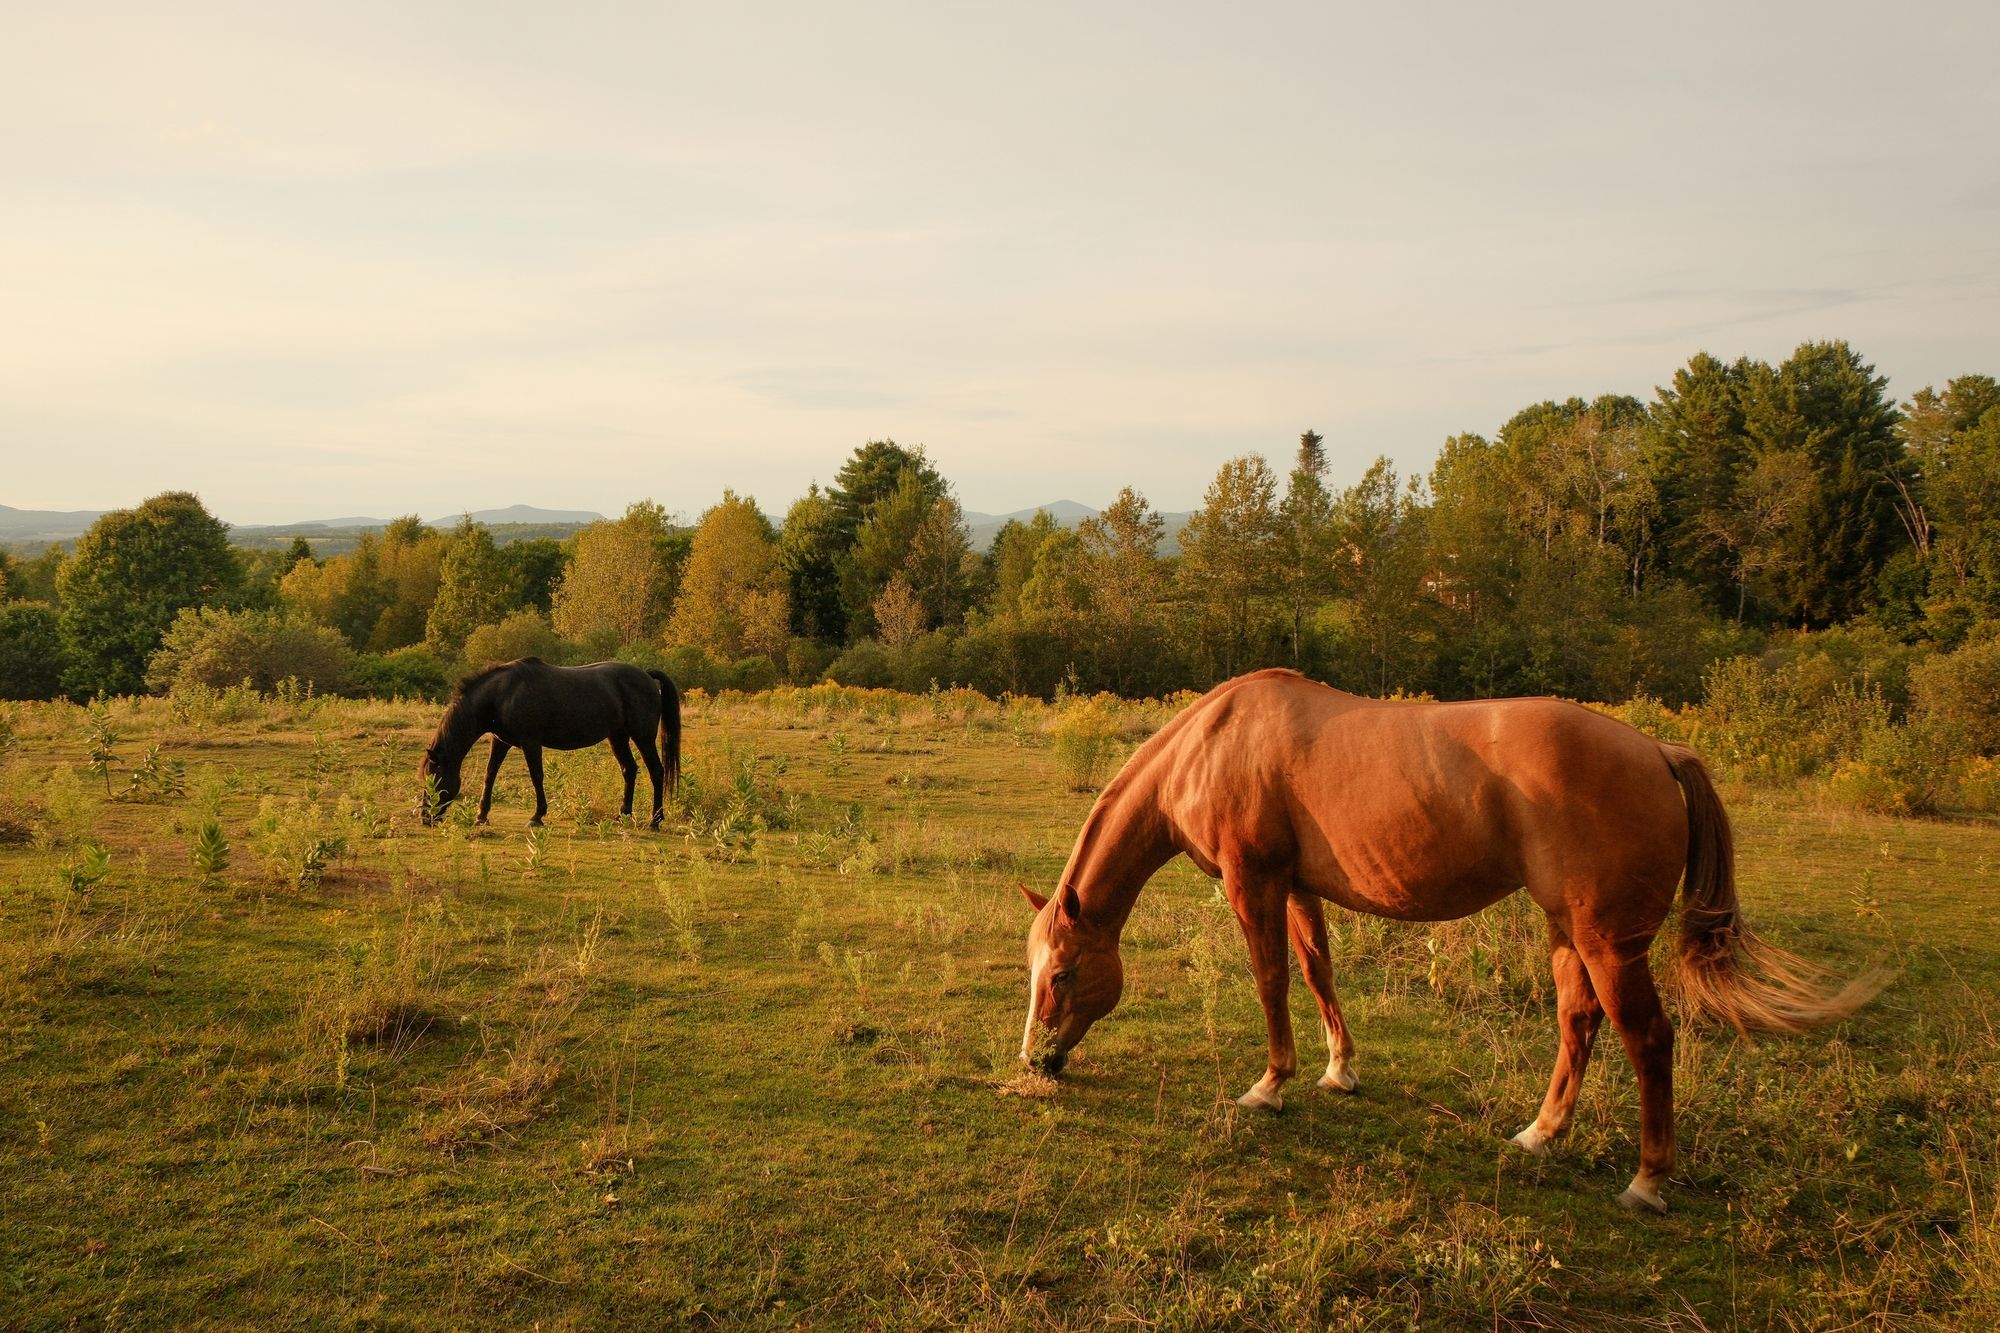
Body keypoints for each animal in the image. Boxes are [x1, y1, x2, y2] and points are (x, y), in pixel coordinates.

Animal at [418, 658, 681, 829]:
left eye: (435, 779)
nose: (425, 817)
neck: (502, 694)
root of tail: (646, 676)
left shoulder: (531, 742)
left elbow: (537, 776)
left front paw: (537, 816)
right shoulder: (500, 741)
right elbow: (489, 775)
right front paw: (482, 816)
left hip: (643, 736)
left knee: (657, 771)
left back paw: (655, 821)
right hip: (617, 737)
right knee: (629, 770)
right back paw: (623, 815)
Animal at [1018, 668, 1879, 1213]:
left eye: (1060, 974)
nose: (1036, 1062)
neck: (1214, 742)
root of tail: (1658, 751)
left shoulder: (1251, 881)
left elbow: (1271, 979)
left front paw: (1270, 1084)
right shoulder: (1297, 886)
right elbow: (1319, 972)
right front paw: (1339, 1069)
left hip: (1608, 942)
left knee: (1647, 1037)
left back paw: (1648, 1180)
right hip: (1566, 930)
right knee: (1578, 1021)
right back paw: (1540, 1134)